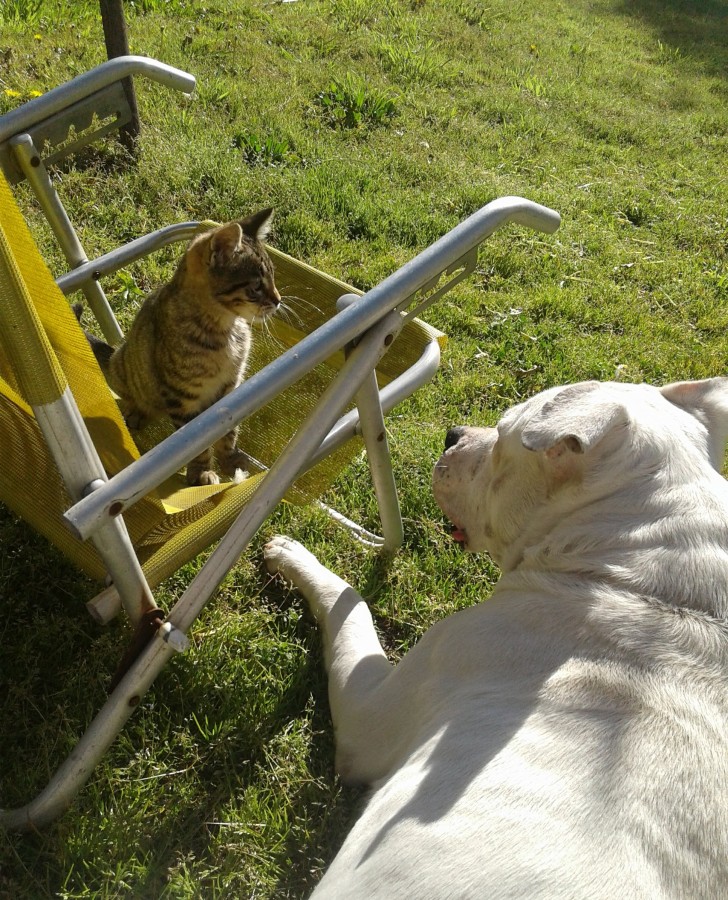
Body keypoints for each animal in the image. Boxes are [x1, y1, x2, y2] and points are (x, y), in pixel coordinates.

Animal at [80, 209, 282, 486]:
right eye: (257, 285)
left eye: (273, 277)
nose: (279, 300)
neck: (225, 330)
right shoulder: (182, 396)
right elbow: (195, 443)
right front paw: (201, 472)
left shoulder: (231, 388)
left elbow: (227, 431)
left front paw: (230, 460)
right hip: (126, 369)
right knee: (135, 397)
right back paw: (138, 413)